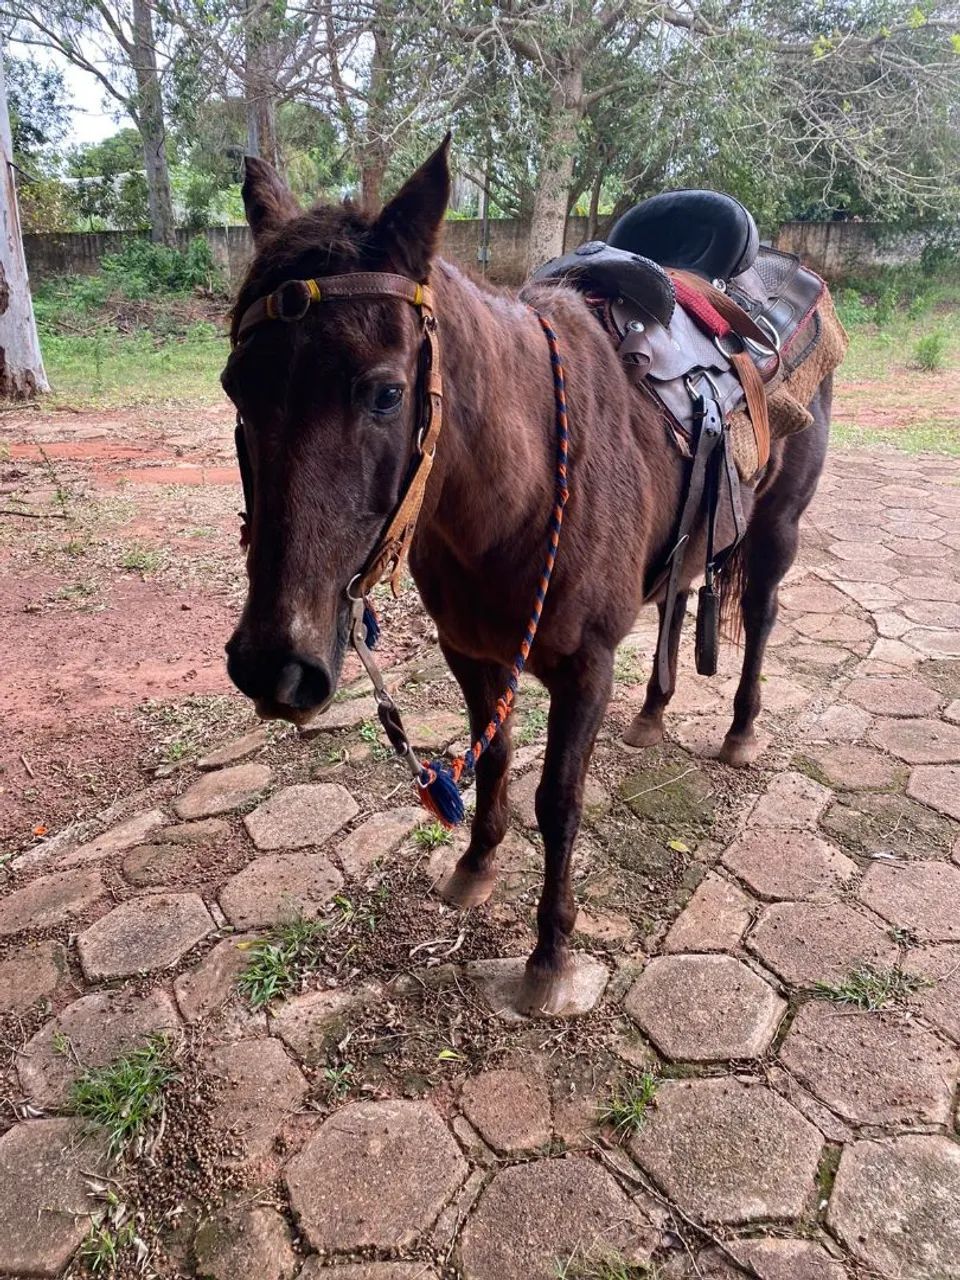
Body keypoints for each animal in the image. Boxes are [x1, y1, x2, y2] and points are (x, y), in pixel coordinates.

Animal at [221, 137, 831, 1016]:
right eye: (237, 389)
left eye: (386, 393)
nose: (274, 666)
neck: (517, 489)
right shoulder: (470, 651)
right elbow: (498, 755)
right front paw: (474, 868)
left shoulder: (584, 669)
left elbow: (559, 801)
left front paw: (549, 955)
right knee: (683, 594)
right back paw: (653, 713)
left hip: (779, 526)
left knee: (763, 617)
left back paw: (742, 730)